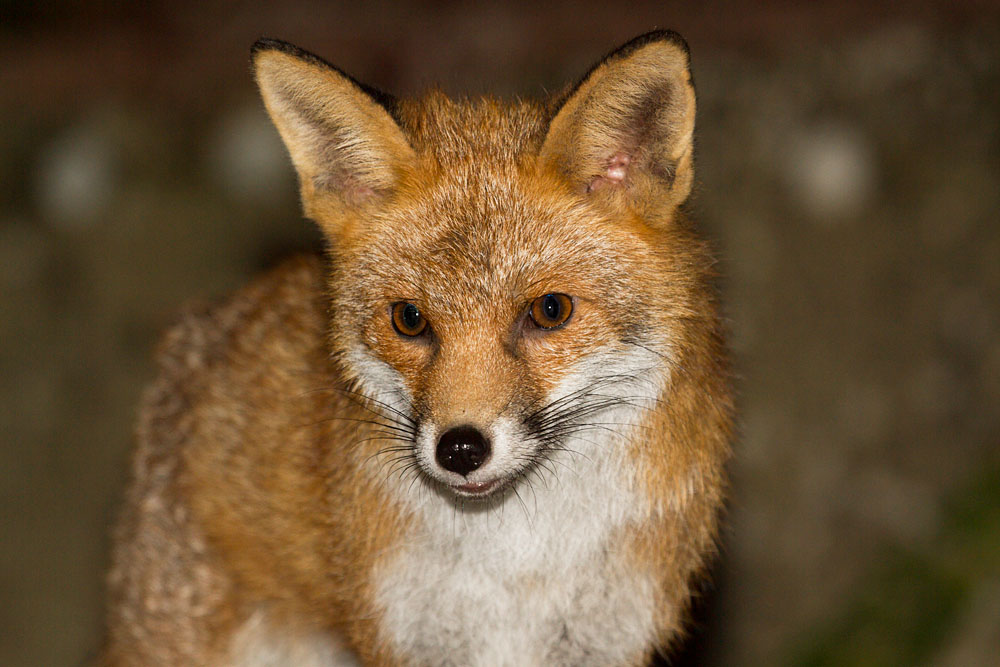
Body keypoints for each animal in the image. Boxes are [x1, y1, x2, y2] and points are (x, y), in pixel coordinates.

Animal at [103, 30, 733, 666]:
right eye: (409, 320)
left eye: (550, 311)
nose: (460, 449)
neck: (521, 564)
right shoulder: (413, 634)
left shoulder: (603, 636)